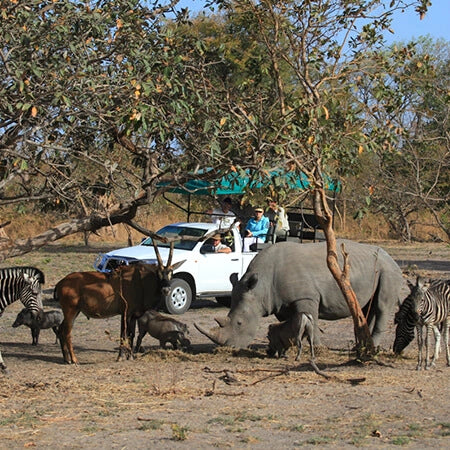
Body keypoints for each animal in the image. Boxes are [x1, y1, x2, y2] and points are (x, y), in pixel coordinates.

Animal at [55, 241, 185, 364]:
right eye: (158, 273)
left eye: (171, 272)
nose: (166, 289)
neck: (141, 281)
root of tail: (61, 283)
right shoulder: (125, 313)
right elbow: (123, 334)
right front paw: (121, 357)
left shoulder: (134, 316)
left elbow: (131, 334)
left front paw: (130, 356)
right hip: (71, 310)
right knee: (66, 332)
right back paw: (74, 359)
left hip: (75, 311)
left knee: (61, 329)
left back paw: (66, 359)